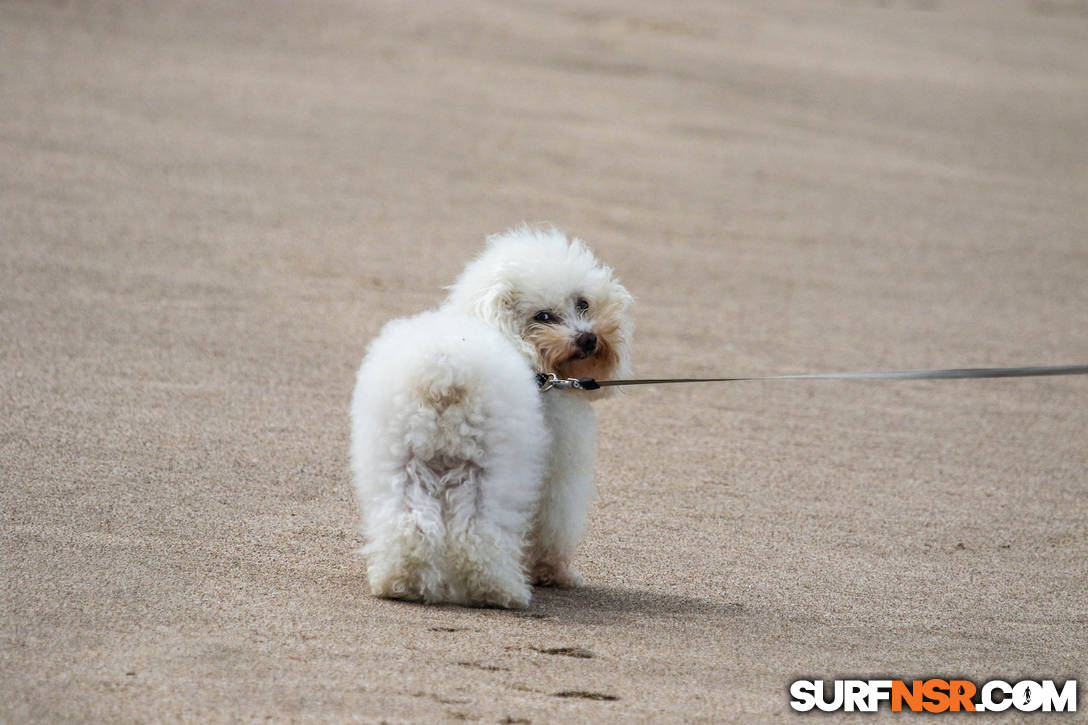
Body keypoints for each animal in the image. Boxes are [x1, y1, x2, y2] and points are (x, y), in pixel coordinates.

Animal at [352, 224, 635, 605]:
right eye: (542, 317)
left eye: (583, 303)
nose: (588, 339)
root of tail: (445, 370)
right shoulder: (557, 475)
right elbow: (552, 527)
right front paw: (553, 573)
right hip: (492, 469)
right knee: (477, 530)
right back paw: (497, 589)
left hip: (400, 464)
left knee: (408, 522)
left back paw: (402, 582)